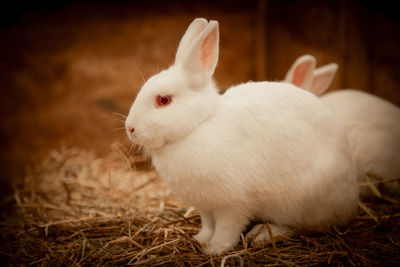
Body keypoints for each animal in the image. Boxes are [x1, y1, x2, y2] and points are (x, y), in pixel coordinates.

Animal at [126, 19, 360, 255]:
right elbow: (208, 225)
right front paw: (200, 239)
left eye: (163, 100)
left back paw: (262, 234)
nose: (130, 128)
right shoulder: (205, 207)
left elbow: (227, 228)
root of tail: (351, 199)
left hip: (299, 203)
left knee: (299, 225)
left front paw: (215, 249)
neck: (198, 125)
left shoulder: (232, 205)